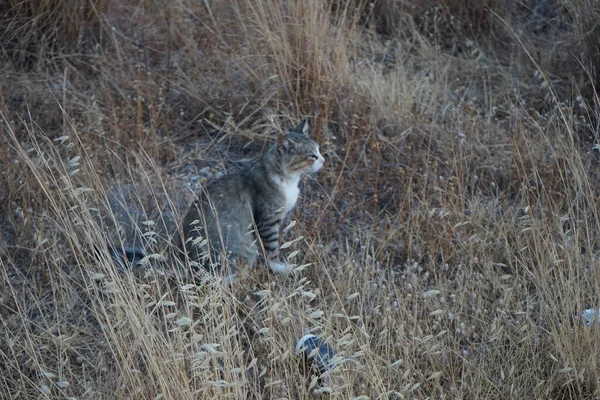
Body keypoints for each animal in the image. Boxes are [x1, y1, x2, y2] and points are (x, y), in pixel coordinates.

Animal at [179, 119, 324, 282]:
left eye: (319, 150)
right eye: (312, 156)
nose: (323, 161)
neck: (288, 180)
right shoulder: (268, 221)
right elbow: (272, 249)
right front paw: (280, 268)